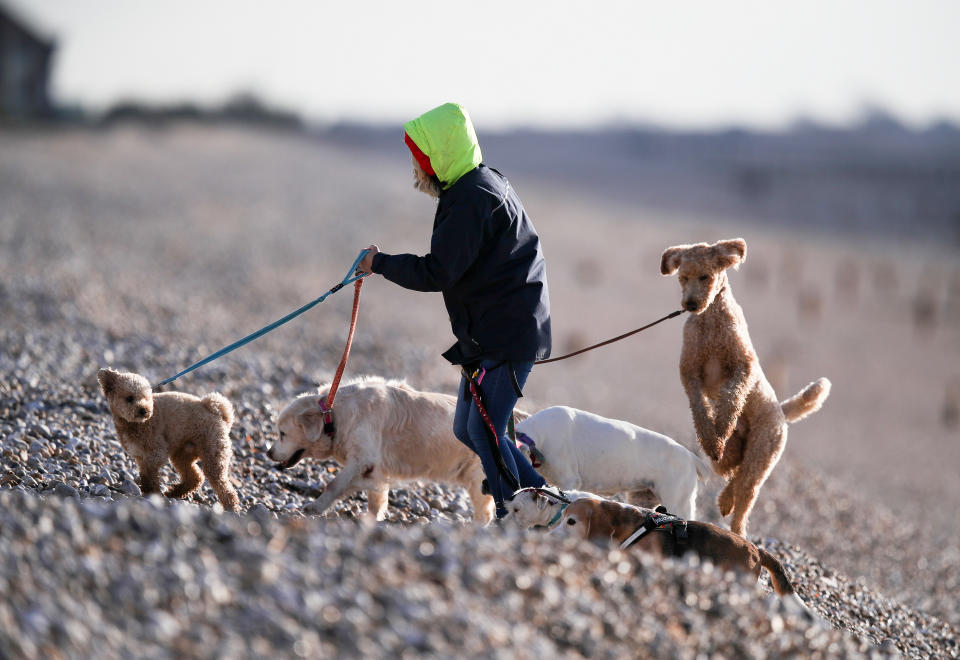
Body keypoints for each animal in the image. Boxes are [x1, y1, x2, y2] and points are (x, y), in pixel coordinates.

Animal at [98, 368, 240, 512]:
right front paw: (148, 492)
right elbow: (145, 474)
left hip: (213, 452)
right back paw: (174, 492)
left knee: (221, 484)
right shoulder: (141, 456)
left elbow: (149, 474)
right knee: (195, 478)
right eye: (129, 398)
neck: (135, 424)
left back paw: (231, 507)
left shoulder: (156, 452)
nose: (144, 410)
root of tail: (217, 411)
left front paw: (152, 493)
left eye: (146, 397)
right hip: (182, 454)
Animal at [268, 378, 496, 524]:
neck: (334, 414)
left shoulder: (361, 459)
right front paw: (371, 518)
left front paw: (315, 507)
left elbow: (334, 485)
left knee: (485, 513)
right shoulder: (374, 466)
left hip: (478, 478)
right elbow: (376, 497)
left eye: (282, 433)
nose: (268, 453)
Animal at [664, 240, 828, 540]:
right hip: (740, 452)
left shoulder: (743, 368)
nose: (690, 304)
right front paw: (712, 439)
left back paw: (733, 514)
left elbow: (731, 397)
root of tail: (781, 412)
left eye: (705, 276)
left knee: (746, 486)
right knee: (732, 469)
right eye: (683, 277)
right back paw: (724, 488)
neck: (710, 321)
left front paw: (722, 426)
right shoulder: (690, 375)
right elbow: (700, 411)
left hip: (763, 450)